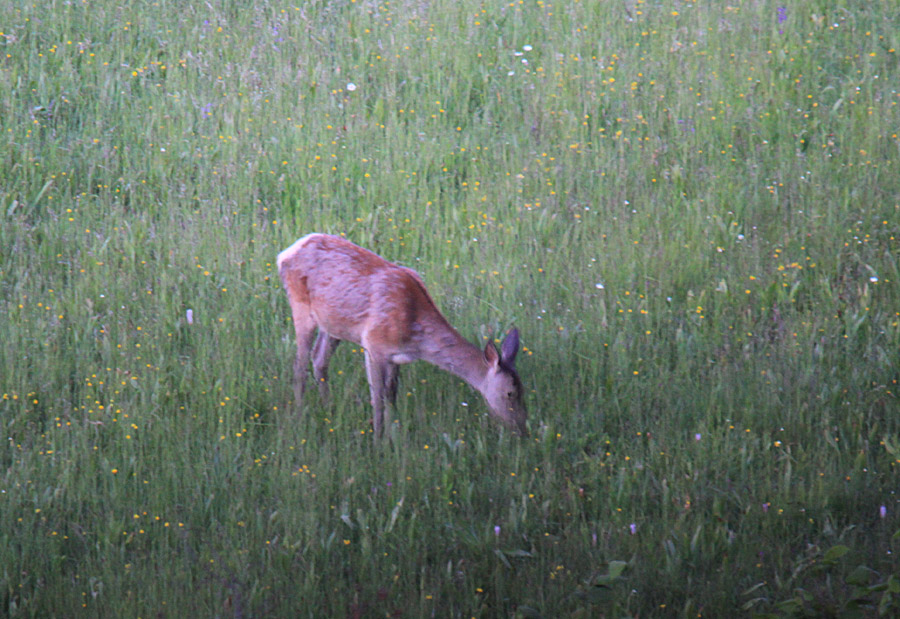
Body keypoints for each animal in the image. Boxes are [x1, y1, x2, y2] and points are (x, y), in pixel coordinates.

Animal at [276, 234, 528, 440]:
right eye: (510, 393)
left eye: (523, 389)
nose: (522, 429)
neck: (416, 338)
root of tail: (284, 253)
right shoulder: (374, 345)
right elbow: (377, 397)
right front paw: (378, 440)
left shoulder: (395, 357)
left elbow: (391, 394)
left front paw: (392, 436)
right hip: (300, 307)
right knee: (299, 366)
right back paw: (299, 415)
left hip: (333, 324)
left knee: (319, 360)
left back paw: (328, 409)